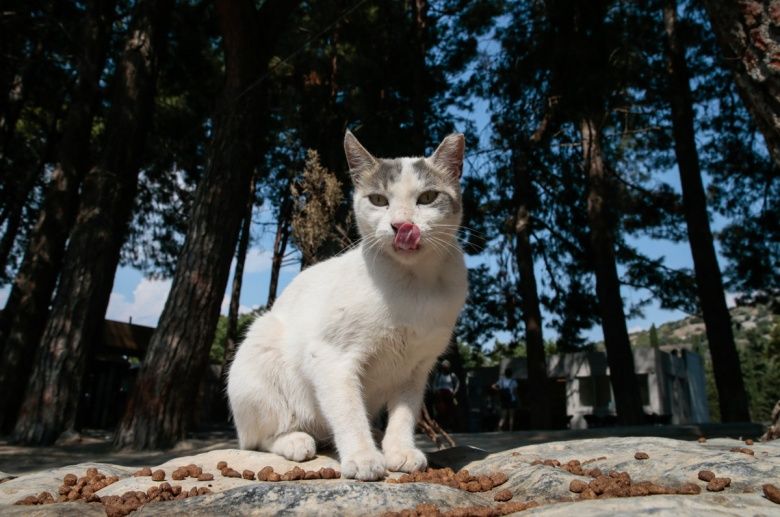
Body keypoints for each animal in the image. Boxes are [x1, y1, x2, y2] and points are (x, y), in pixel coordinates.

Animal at [227, 130, 470, 480]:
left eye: (427, 197)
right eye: (378, 200)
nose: (402, 226)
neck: (413, 285)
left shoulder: (416, 369)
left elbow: (404, 414)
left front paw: (399, 451)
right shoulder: (332, 358)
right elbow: (349, 413)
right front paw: (363, 458)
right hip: (261, 352)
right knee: (258, 438)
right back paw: (296, 440)